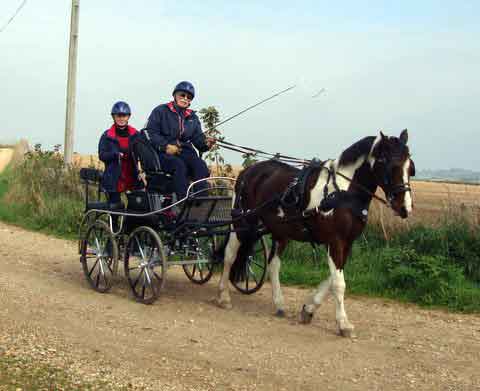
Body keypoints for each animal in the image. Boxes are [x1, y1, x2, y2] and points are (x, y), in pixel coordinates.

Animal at [216, 129, 414, 336]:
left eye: (410, 168)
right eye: (391, 165)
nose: (405, 208)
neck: (342, 193)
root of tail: (248, 171)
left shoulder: (347, 243)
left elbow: (332, 279)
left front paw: (309, 309)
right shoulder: (335, 241)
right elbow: (338, 283)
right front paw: (343, 323)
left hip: (280, 230)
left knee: (273, 264)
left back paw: (279, 303)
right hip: (242, 222)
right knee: (229, 255)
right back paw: (223, 296)